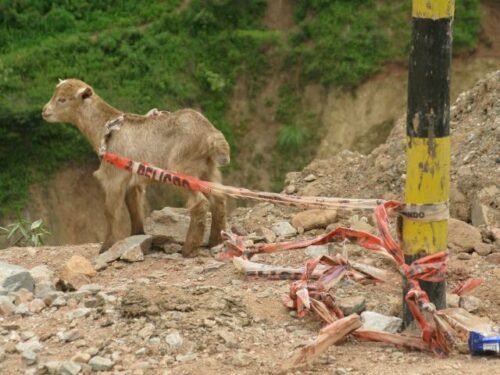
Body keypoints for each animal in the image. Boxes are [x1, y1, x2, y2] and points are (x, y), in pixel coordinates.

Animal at [43, 78, 230, 258]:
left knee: (200, 203)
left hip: (182, 169)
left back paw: (189, 250)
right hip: (208, 169)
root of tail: (211, 136)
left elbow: (111, 211)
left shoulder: (114, 178)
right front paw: (137, 235)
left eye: (62, 99)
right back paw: (215, 241)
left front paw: (106, 247)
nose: (44, 111)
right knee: (218, 198)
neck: (106, 129)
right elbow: (134, 207)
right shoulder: (132, 180)